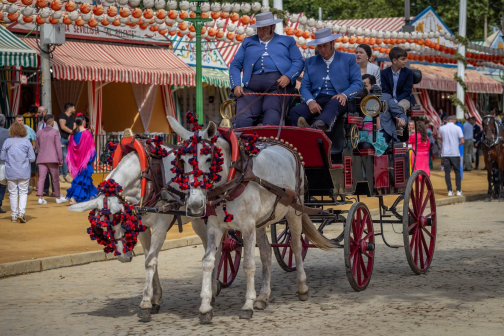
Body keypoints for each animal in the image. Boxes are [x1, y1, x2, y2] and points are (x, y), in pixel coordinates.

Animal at [67, 151, 219, 322]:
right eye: (101, 228)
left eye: (123, 219)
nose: (123, 257)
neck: (148, 178)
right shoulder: (143, 227)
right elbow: (149, 257)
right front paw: (155, 299)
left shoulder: (161, 224)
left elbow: (150, 262)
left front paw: (145, 304)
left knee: (216, 249)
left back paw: (212, 290)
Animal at [167, 116, 336, 322]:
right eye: (182, 160)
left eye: (209, 158)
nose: (195, 204)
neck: (232, 179)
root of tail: (287, 147)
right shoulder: (215, 227)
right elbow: (208, 261)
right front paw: (206, 307)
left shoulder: (247, 226)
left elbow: (248, 264)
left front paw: (247, 305)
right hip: (262, 222)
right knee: (266, 252)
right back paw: (263, 297)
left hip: (293, 212)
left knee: (296, 246)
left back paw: (302, 287)